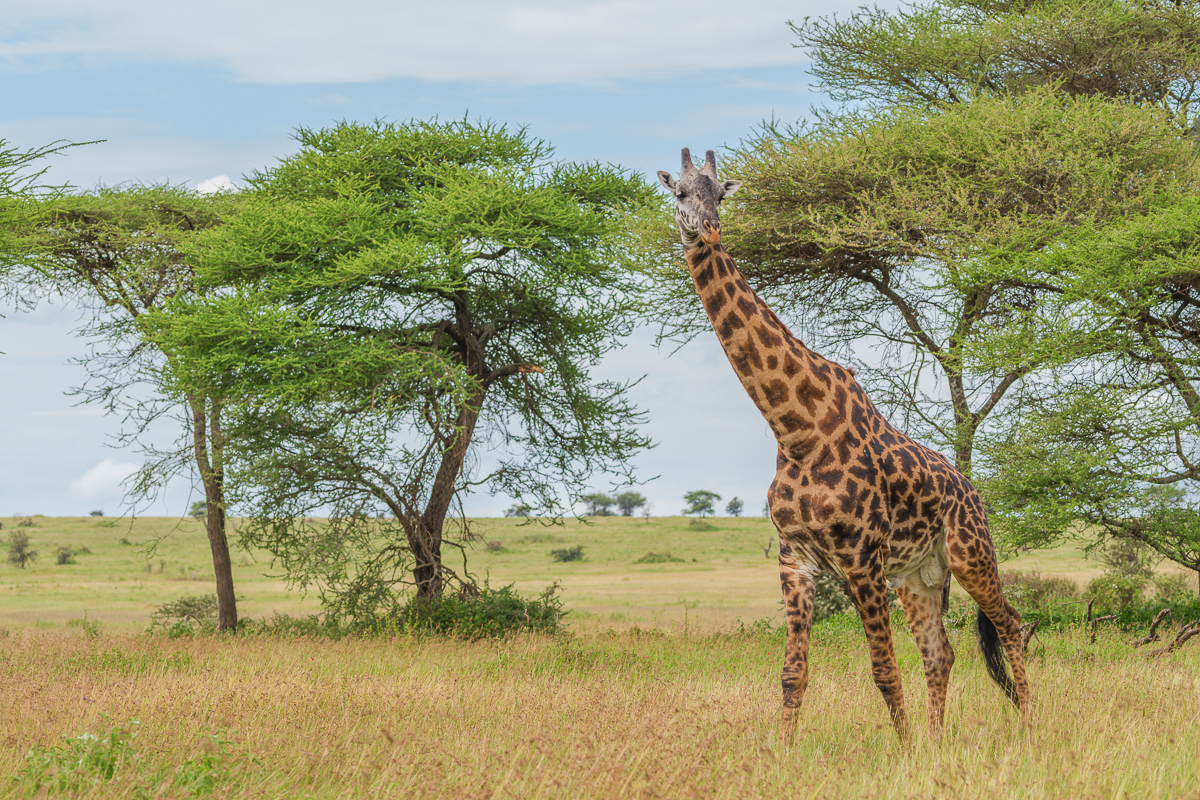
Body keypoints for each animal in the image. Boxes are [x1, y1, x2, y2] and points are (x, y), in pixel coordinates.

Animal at [657, 148, 1029, 742]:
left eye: (720, 193)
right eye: (680, 194)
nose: (710, 230)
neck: (796, 430)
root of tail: (972, 491)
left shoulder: (860, 558)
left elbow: (883, 670)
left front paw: (905, 753)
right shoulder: (795, 559)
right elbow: (793, 673)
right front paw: (784, 753)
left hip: (970, 552)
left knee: (1011, 625)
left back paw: (1032, 726)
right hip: (918, 577)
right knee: (941, 652)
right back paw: (939, 741)